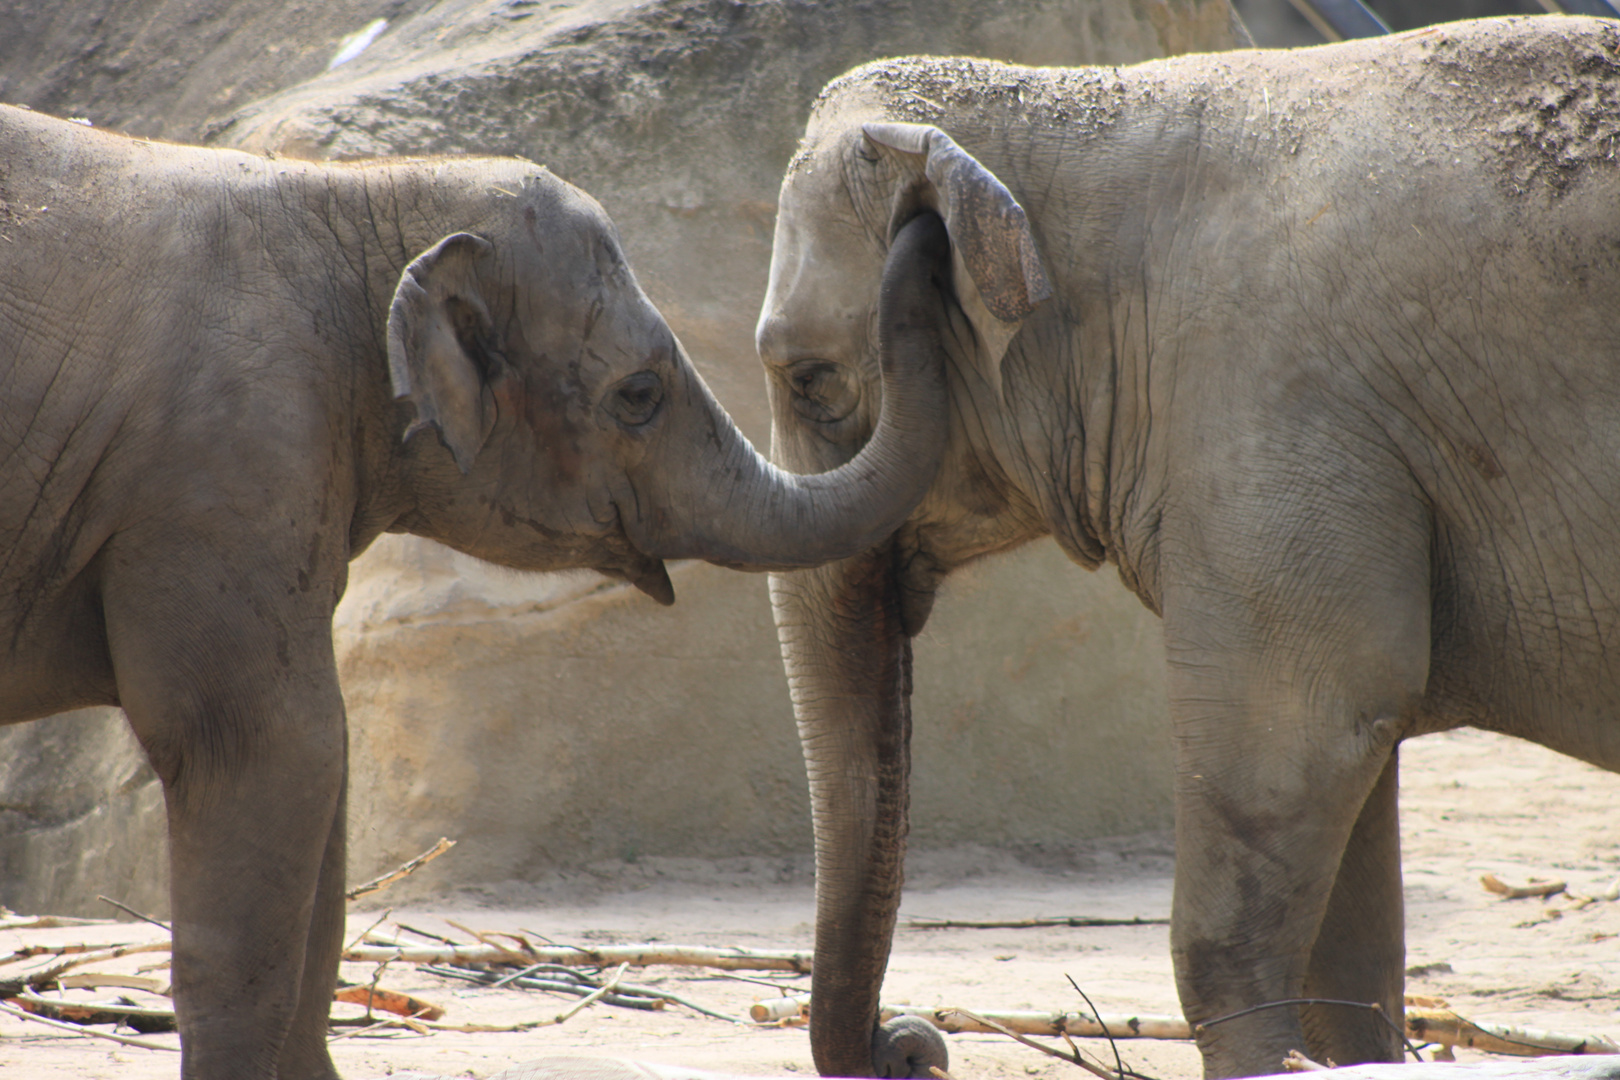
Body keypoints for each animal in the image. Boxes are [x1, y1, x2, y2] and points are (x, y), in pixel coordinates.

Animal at [0, 103, 946, 1080]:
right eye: (639, 393)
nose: (913, 1047)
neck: (351, 199)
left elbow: (324, 774)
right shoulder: (224, 475)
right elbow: (272, 747)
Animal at [754, 16, 1620, 1080]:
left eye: (811, 380)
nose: (914, 1044)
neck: (1094, 109)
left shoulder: (1267, 413)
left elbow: (1292, 746)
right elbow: (1349, 839)